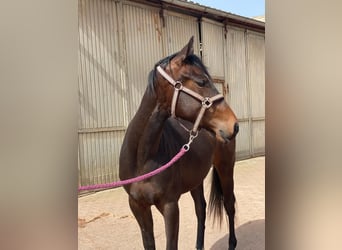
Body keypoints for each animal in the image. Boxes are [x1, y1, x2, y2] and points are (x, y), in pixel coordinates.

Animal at [119, 36, 239, 249]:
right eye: (201, 81)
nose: (234, 125)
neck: (143, 158)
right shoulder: (137, 206)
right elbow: (149, 243)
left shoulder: (170, 206)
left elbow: (171, 244)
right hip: (196, 178)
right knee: (201, 209)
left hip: (225, 167)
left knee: (229, 205)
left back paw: (232, 244)